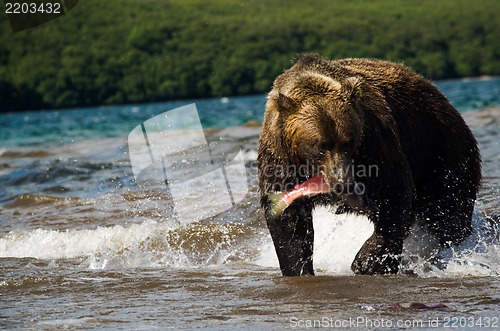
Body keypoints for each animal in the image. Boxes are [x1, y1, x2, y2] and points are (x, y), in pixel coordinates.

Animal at [258, 53, 480, 278]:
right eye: (321, 146)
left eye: (348, 142)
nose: (343, 183)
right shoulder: (280, 159)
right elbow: (289, 219)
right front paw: (299, 269)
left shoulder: (372, 143)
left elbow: (393, 193)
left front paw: (367, 261)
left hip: (440, 153)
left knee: (449, 214)